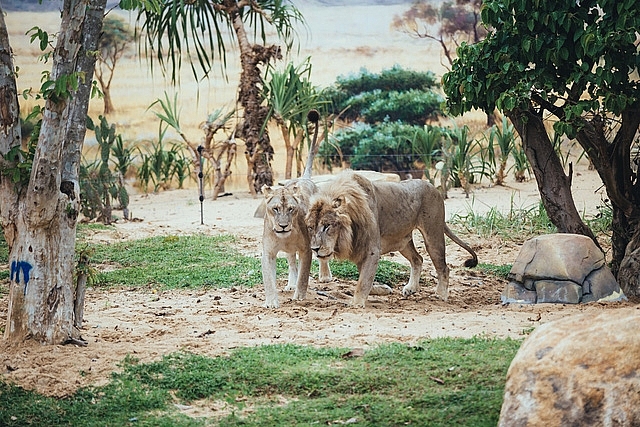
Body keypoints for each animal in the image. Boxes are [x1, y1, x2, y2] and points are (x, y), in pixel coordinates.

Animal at [308, 171, 478, 308]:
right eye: (310, 227)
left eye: (327, 226)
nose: (314, 249)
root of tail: (433, 186)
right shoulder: (360, 248)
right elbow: (365, 277)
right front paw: (380, 289)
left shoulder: (371, 249)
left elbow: (363, 280)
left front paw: (356, 304)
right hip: (402, 242)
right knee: (418, 259)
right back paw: (411, 288)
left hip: (432, 234)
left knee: (443, 267)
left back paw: (441, 295)